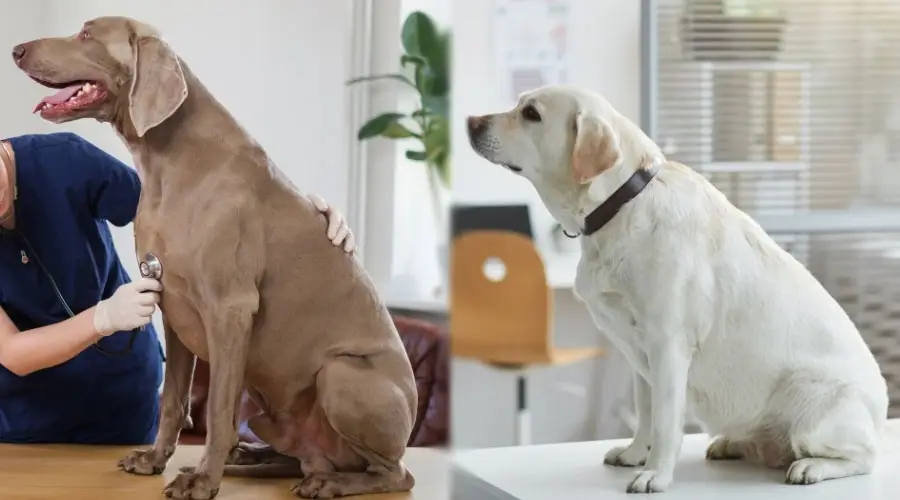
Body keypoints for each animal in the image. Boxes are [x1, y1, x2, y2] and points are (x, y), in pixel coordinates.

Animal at [12, 15, 418, 500]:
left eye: (88, 34)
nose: (15, 50)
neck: (169, 162)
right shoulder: (170, 303)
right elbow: (172, 399)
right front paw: (156, 459)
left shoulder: (230, 308)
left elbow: (219, 411)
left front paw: (203, 480)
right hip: (269, 410)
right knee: (300, 456)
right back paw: (257, 460)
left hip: (342, 375)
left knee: (393, 472)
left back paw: (328, 482)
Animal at [468, 85, 888, 492]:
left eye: (531, 113)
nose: (470, 121)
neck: (620, 205)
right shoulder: (638, 355)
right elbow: (644, 413)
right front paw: (635, 454)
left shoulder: (668, 345)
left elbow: (665, 421)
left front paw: (656, 474)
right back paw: (732, 444)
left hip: (810, 402)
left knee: (864, 457)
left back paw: (811, 466)